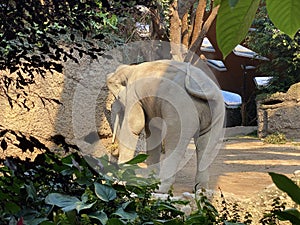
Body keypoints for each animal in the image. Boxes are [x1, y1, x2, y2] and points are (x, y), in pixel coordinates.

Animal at [106, 59, 224, 192]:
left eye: (116, 98)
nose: (113, 150)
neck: (130, 69)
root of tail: (206, 89)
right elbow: (152, 132)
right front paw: (150, 179)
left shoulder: (134, 94)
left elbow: (135, 126)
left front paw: (120, 180)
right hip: (218, 112)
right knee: (206, 147)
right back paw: (200, 190)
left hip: (182, 110)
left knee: (175, 146)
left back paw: (160, 190)